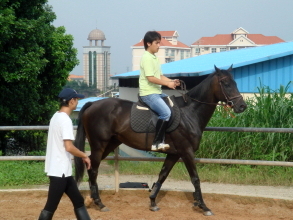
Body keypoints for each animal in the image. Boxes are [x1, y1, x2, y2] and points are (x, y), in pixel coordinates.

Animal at [73, 64, 246, 216]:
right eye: (226, 83)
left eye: (236, 83)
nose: (242, 106)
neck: (189, 113)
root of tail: (92, 104)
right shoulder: (186, 151)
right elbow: (195, 178)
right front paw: (204, 207)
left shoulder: (174, 154)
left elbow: (162, 175)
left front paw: (153, 202)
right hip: (99, 145)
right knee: (93, 169)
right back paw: (100, 203)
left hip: (110, 143)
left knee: (90, 165)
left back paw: (92, 199)